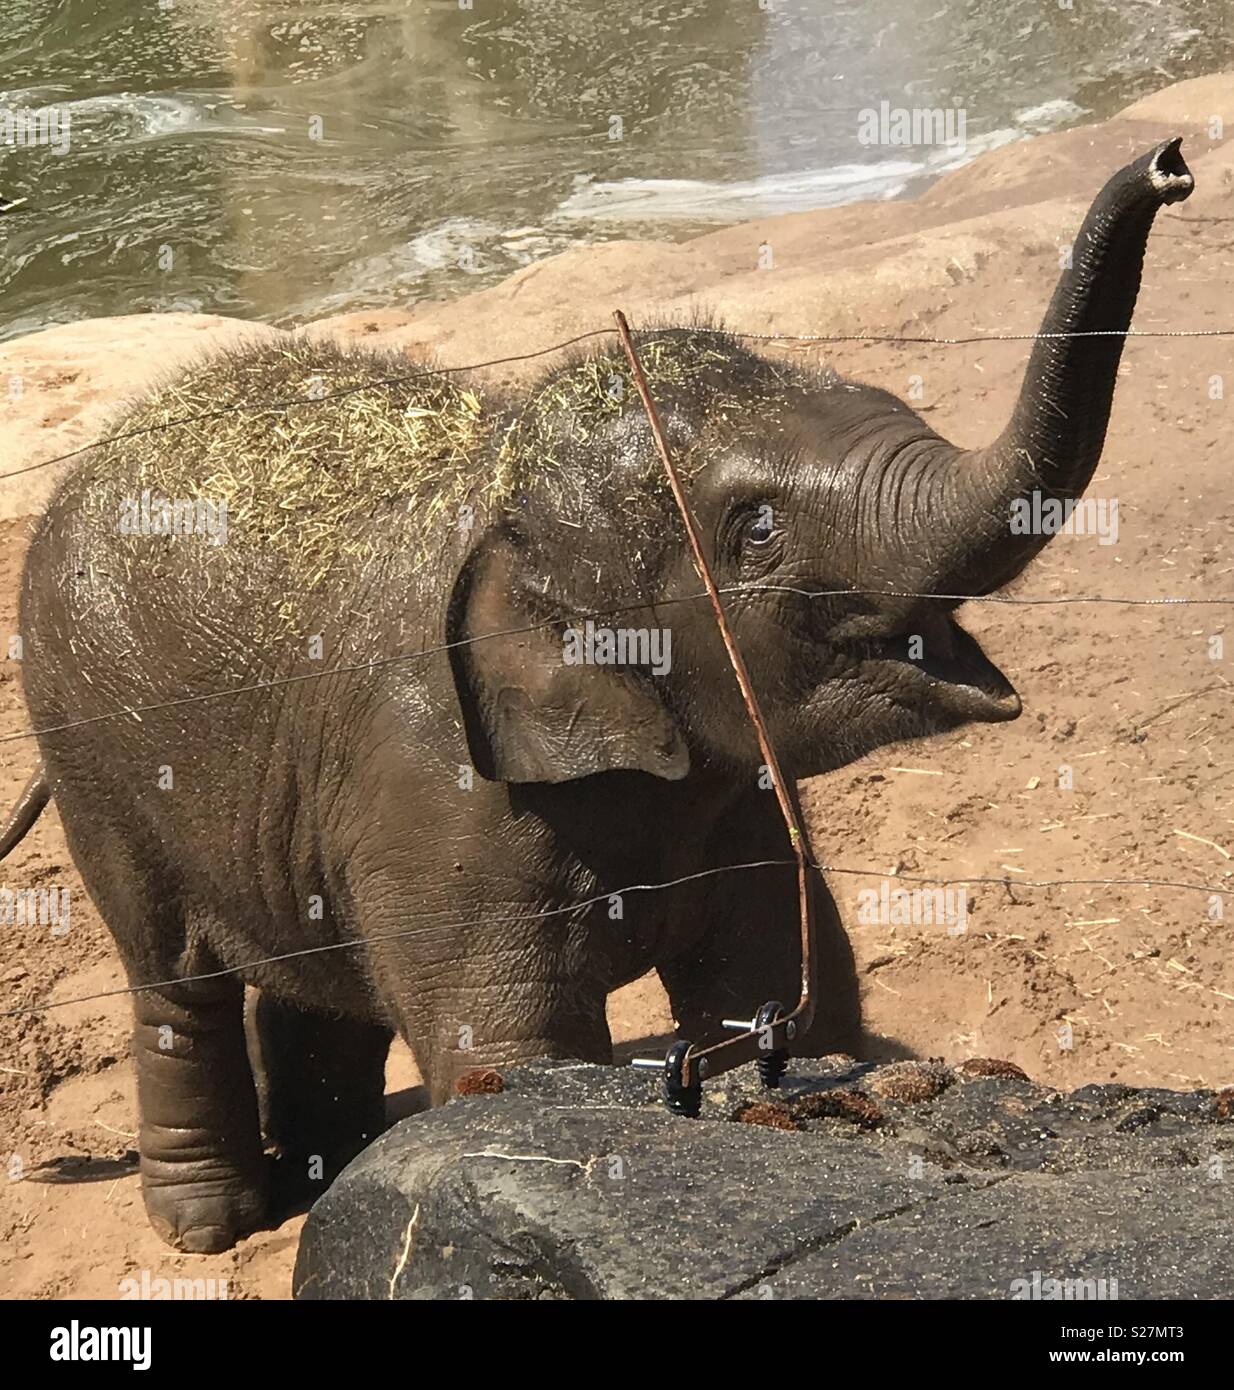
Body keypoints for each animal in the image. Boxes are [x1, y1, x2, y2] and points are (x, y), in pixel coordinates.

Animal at [0, 138, 1192, 1252]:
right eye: (757, 527)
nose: (1170, 166)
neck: (495, 487)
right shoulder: (440, 792)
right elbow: (509, 1055)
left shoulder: (726, 796)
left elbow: (766, 988)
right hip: (91, 752)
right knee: (173, 982)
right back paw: (210, 1224)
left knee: (314, 981)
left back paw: (328, 1168)